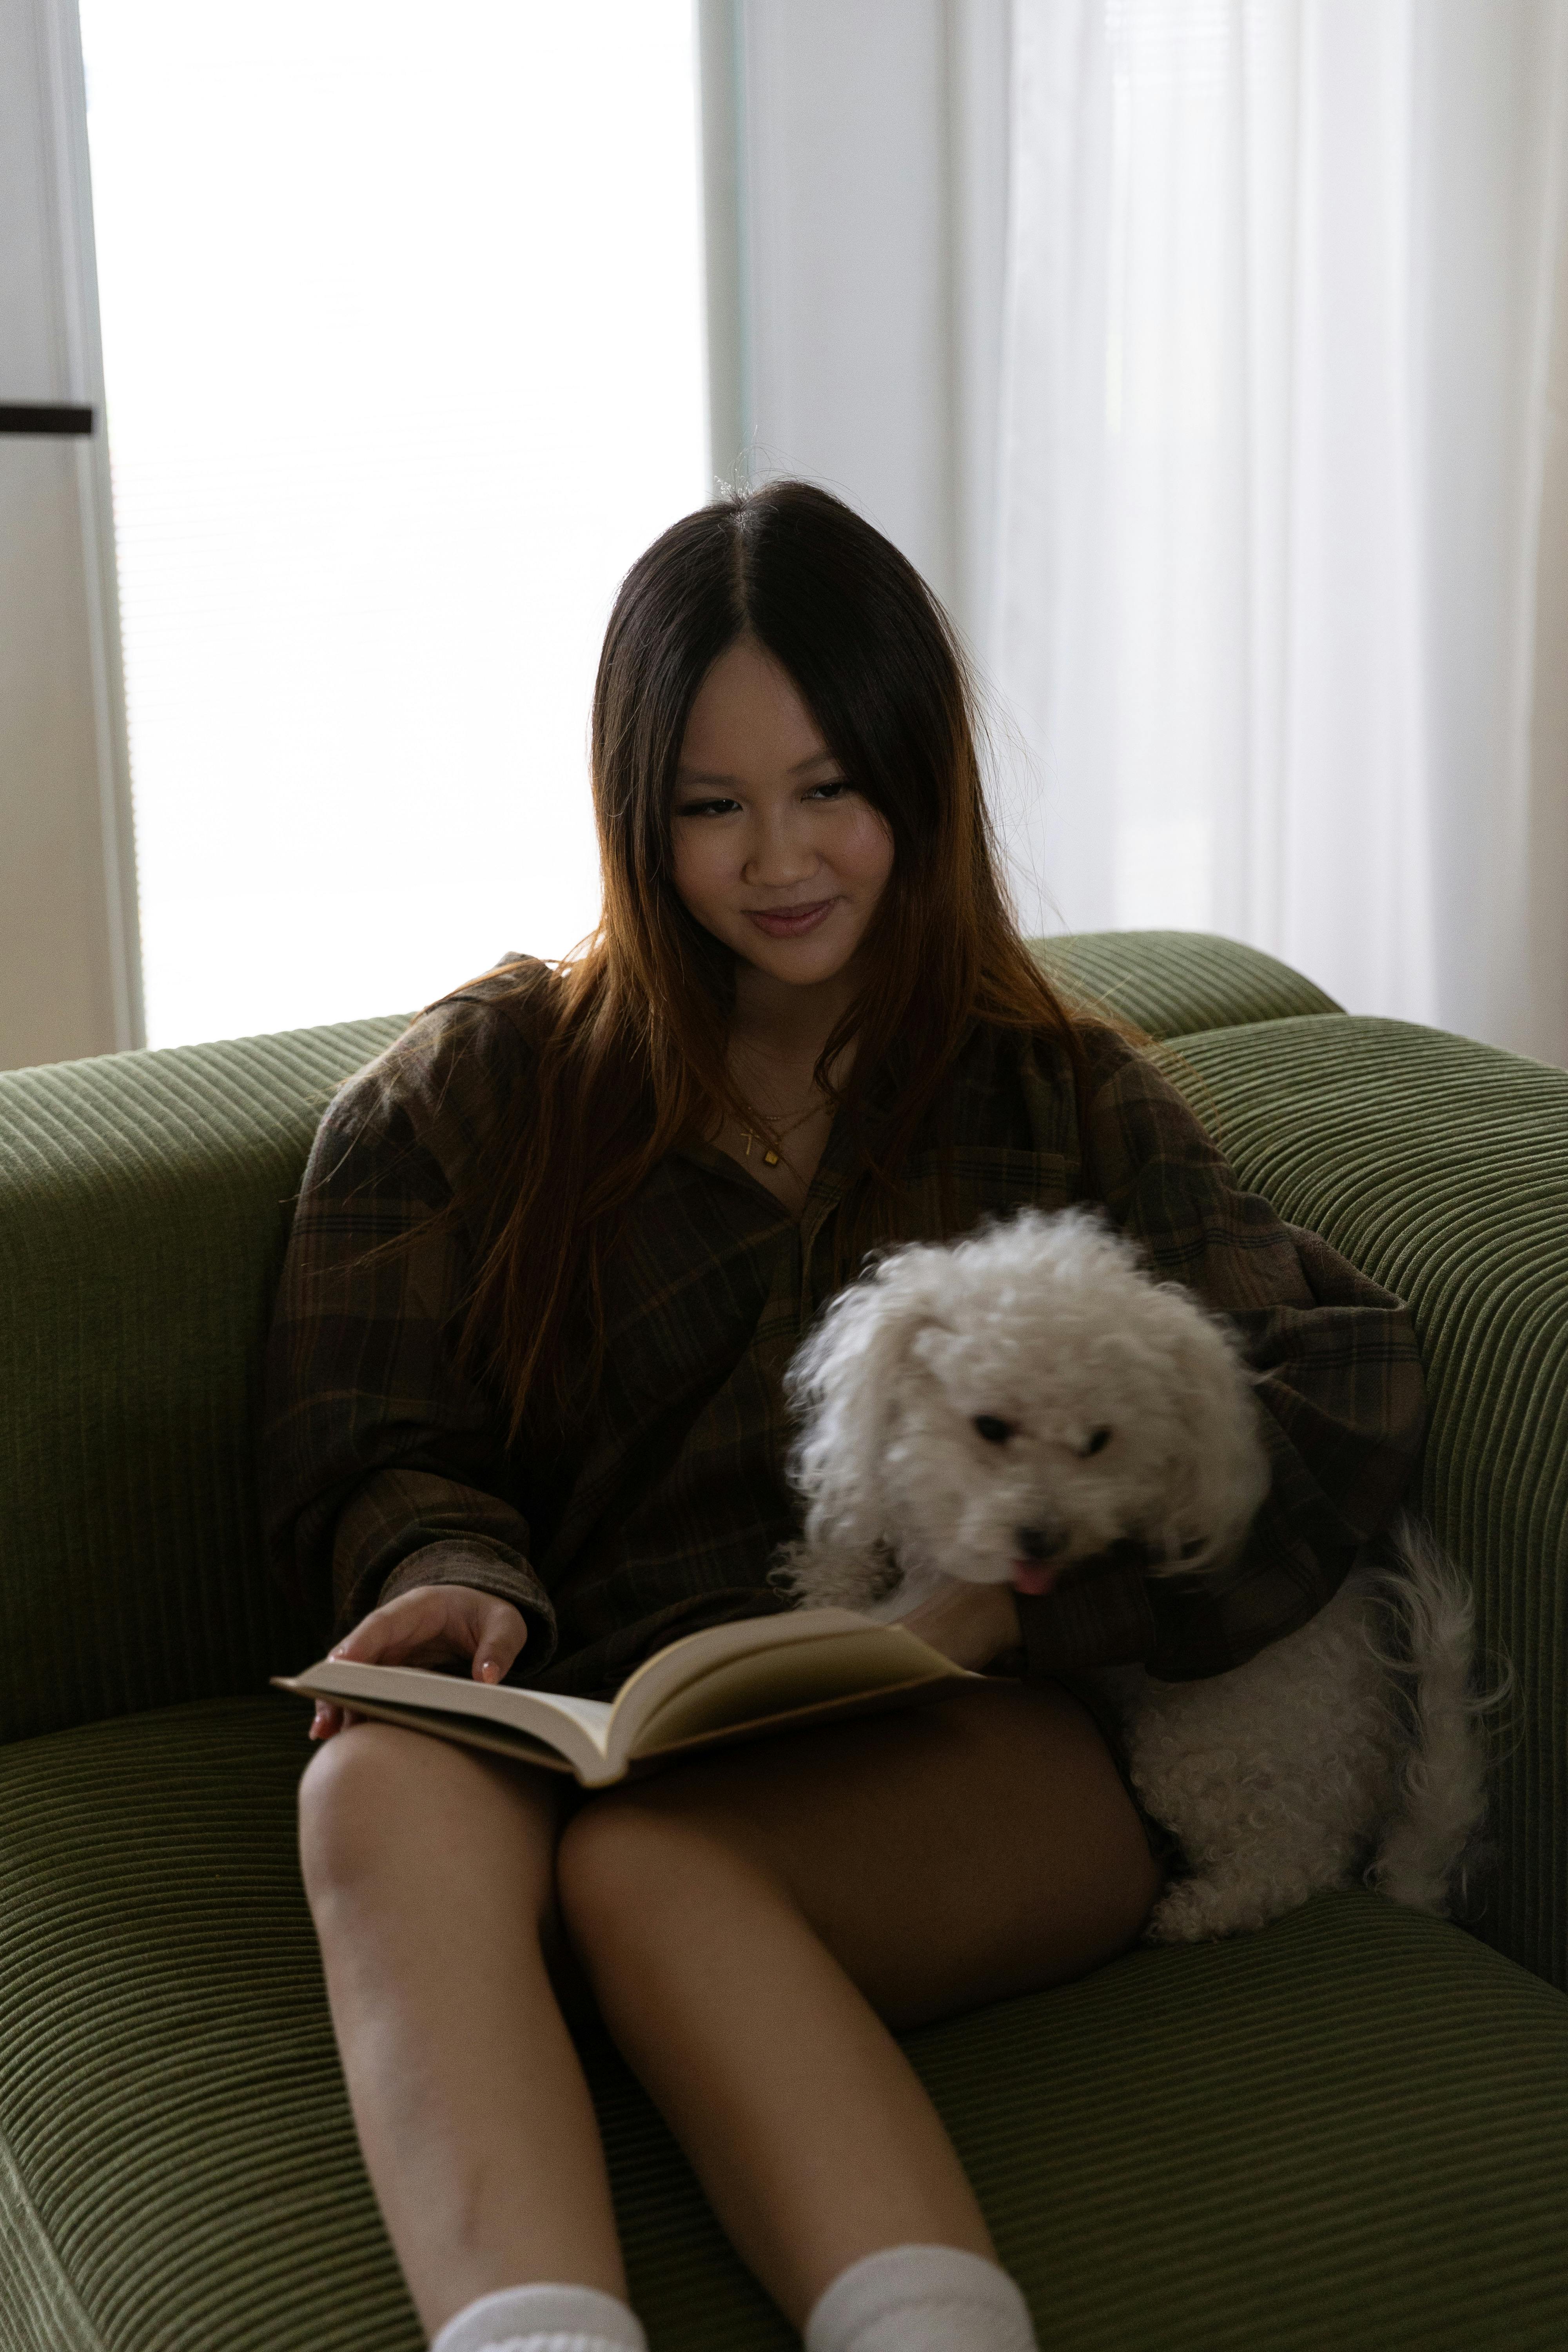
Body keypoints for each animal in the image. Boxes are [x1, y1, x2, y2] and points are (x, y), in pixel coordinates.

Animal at [780, 1204, 1495, 1938]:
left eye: (1098, 1441)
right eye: (990, 1426)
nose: (1043, 1538)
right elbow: (849, 1545)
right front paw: (822, 1590)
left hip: (1203, 1751)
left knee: (1291, 1866)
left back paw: (1196, 1913)